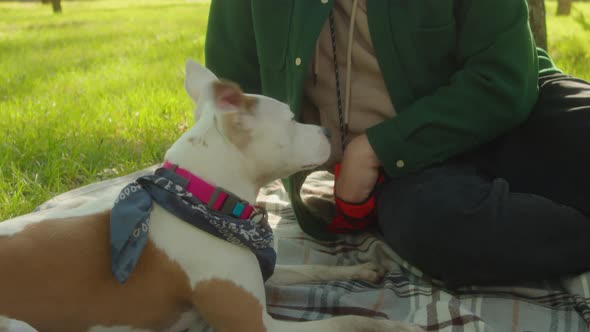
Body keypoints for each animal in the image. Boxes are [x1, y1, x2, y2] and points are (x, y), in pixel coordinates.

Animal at [0, 59, 426, 332]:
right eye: (291, 120)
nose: (327, 131)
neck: (201, 200)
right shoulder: (259, 326)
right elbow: (349, 320)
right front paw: (398, 329)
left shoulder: (262, 271)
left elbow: (312, 269)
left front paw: (361, 269)